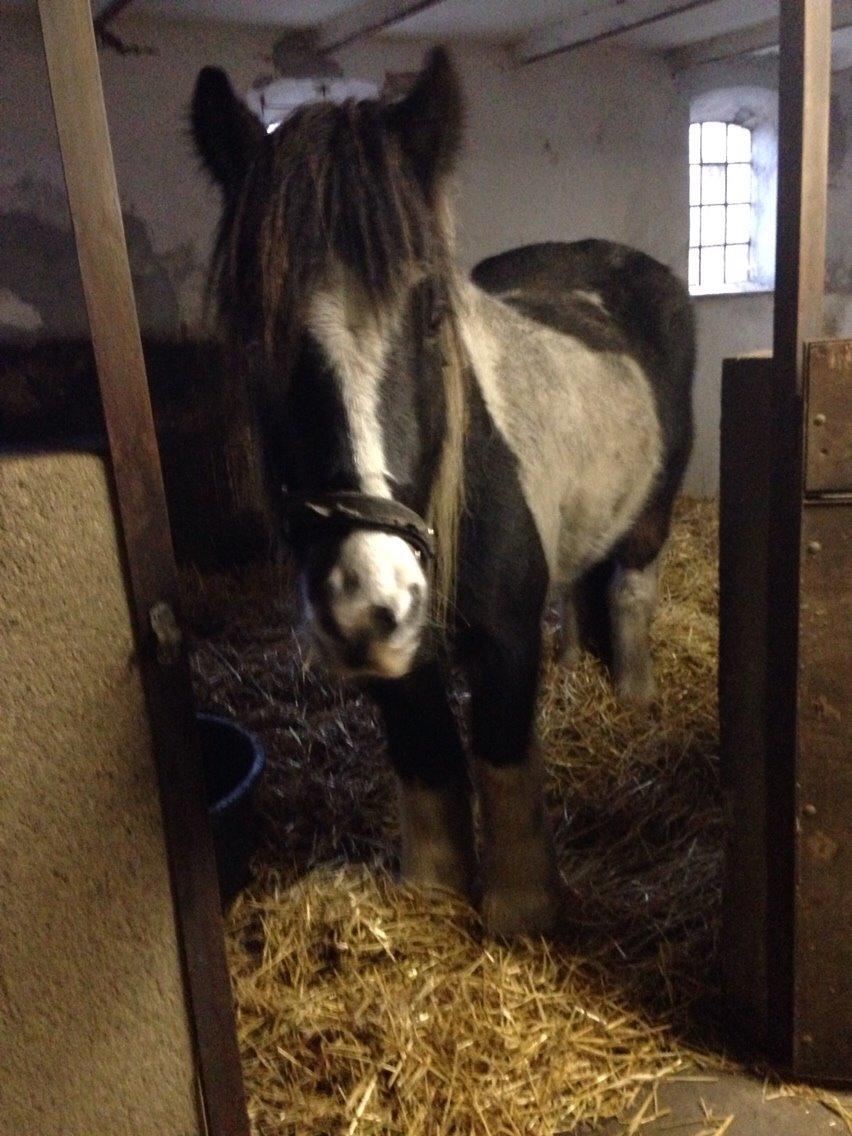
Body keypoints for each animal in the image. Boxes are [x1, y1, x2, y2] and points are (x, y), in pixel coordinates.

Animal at [191, 44, 695, 936]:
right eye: (256, 329)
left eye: (430, 315)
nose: (365, 596)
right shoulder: (402, 656)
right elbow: (426, 755)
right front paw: (431, 894)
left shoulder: (503, 640)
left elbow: (499, 752)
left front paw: (523, 909)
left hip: (652, 514)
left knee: (630, 589)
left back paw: (634, 695)